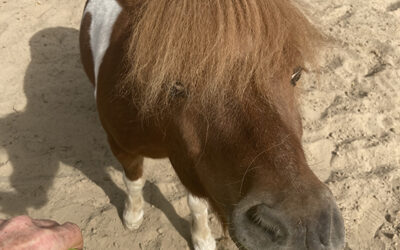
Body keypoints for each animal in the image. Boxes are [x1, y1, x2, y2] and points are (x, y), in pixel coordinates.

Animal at [79, 0, 346, 249]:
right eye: (176, 86)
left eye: (296, 74)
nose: (305, 226)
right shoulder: (123, 148)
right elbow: (134, 182)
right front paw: (132, 216)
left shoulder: (193, 166)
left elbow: (197, 204)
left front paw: (202, 238)